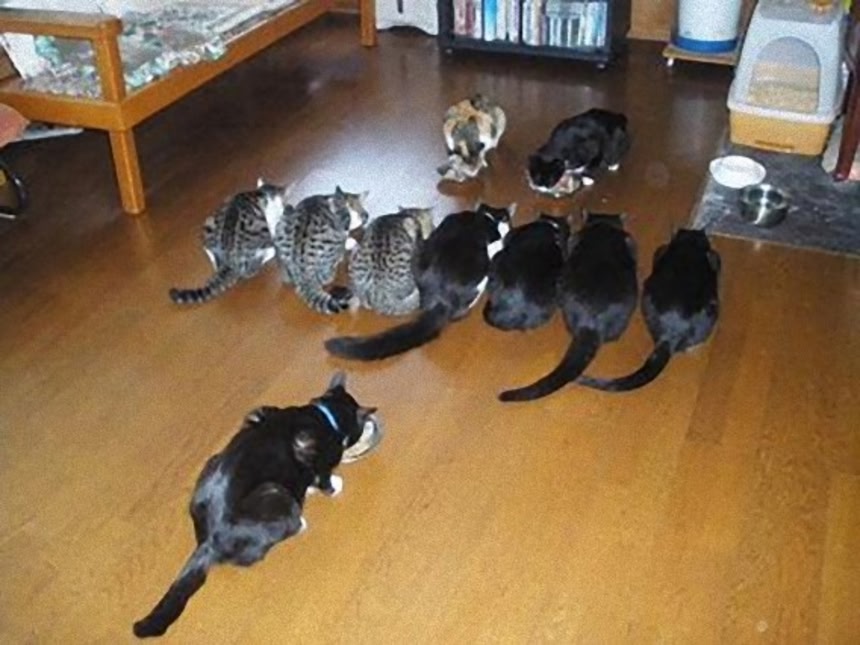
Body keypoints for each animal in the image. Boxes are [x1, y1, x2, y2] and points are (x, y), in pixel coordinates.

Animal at [132, 372, 378, 639]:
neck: (325, 416)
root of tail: (208, 541)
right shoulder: (320, 460)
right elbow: (323, 478)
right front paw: (333, 486)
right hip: (276, 492)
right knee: (252, 554)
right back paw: (299, 523)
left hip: (212, 462)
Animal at [273, 186, 369, 315]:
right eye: (357, 213)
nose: (362, 217)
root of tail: (304, 277)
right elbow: (345, 237)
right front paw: (349, 241)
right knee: (327, 277)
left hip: (282, 225)